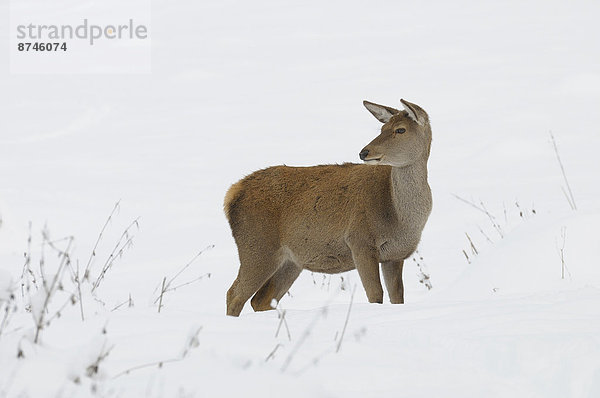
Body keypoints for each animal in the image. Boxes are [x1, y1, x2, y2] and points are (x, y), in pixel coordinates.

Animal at [224, 98, 432, 318]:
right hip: (257, 246)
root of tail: (232, 194)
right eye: (382, 128)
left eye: (400, 129)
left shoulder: (395, 255)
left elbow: (397, 298)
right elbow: (375, 295)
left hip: (291, 261)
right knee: (234, 294)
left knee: (260, 300)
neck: (398, 217)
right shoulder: (360, 241)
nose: (364, 152)